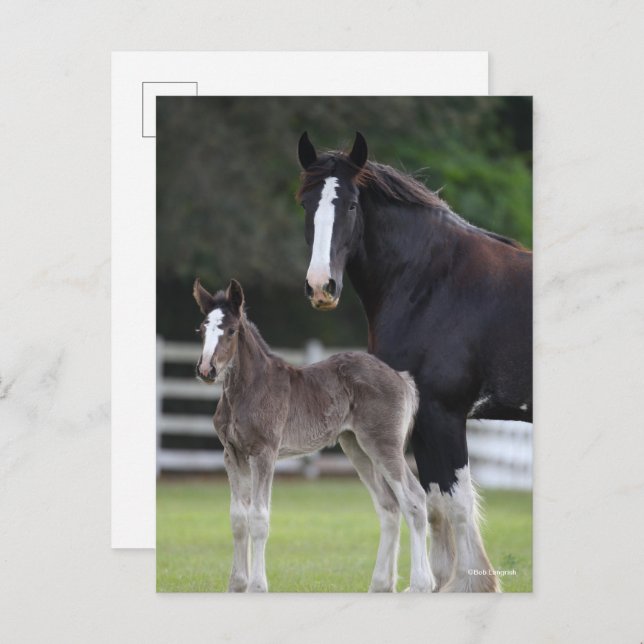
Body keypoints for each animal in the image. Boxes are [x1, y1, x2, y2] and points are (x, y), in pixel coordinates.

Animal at [193, 278, 433, 593]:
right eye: (202, 329)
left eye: (231, 331)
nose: (206, 369)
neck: (247, 389)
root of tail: (402, 378)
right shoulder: (232, 454)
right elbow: (238, 518)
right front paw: (236, 585)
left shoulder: (264, 453)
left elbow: (258, 517)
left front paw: (257, 586)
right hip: (357, 447)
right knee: (389, 506)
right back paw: (381, 584)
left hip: (384, 445)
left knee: (414, 500)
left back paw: (420, 584)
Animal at [296, 132, 532, 592]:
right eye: (306, 204)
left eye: (350, 205)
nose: (320, 286)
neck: (435, 282)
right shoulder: (423, 419)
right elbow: (435, 502)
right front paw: (439, 582)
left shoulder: (443, 414)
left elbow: (455, 502)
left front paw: (468, 585)